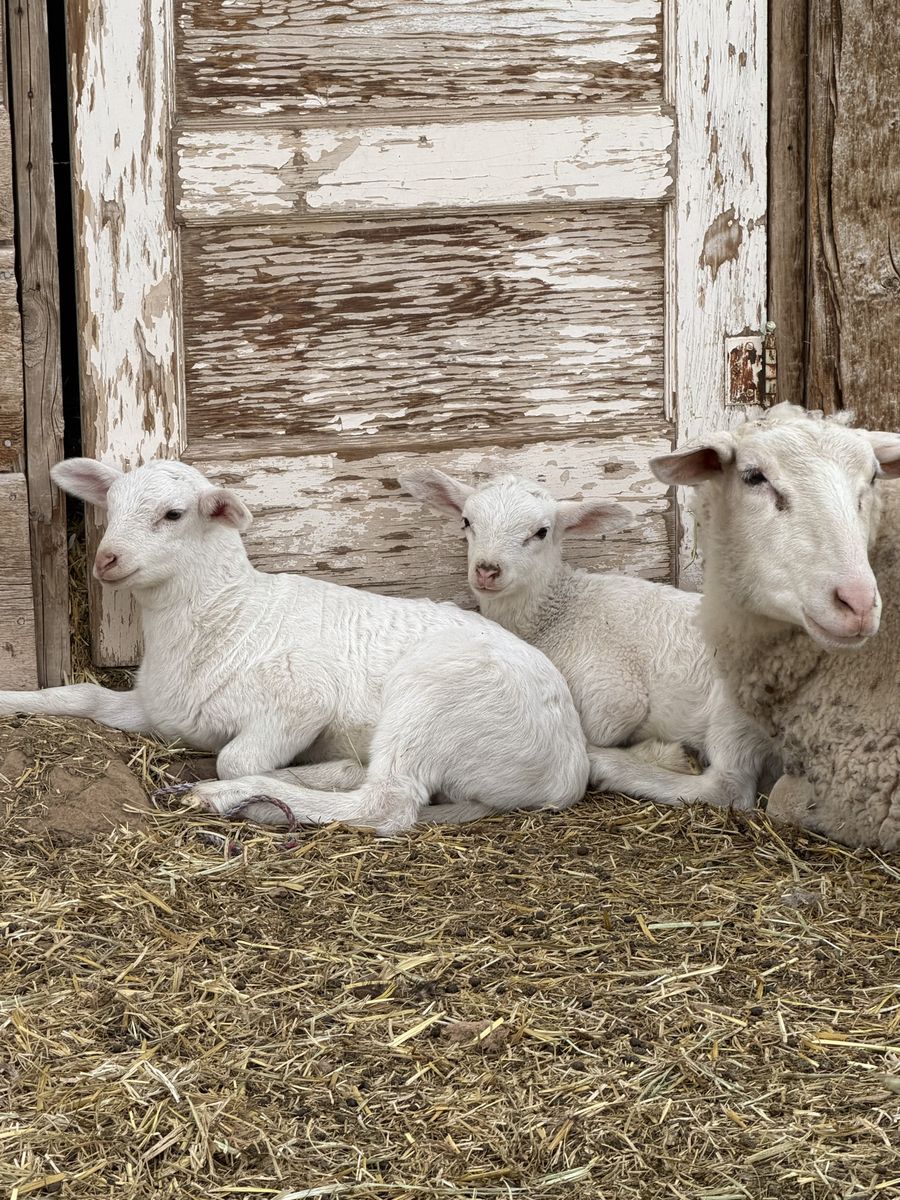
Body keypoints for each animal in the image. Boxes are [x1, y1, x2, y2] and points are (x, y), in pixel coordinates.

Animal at [0, 457, 591, 834]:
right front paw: (11, 700)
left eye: (173, 514)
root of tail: (567, 770)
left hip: (436, 696)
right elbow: (79, 695)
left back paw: (244, 801)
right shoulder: (158, 707)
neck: (229, 615)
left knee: (386, 805)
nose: (106, 560)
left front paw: (250, 784)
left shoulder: (300, 699)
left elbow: (236, 757)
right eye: (111, 504)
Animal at [401, 469, 777, 811]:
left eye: (541, 532)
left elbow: (596, 729)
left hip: (737, 705)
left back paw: (610, 766)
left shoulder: (614, 695)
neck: (559, 612)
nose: (487, 570)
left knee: (728, 788)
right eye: (467, 521)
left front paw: (658, 752)